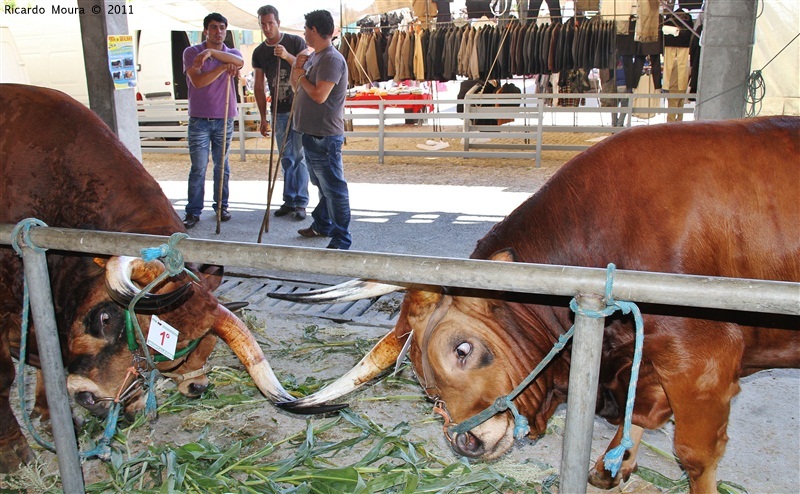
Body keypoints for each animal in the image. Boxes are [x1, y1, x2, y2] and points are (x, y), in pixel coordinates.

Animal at [0, 84, 332, 470]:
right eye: (104, 317)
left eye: (170, 357)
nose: (92, 398)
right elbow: (9, 372)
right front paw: (13, 450)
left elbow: (44, 356)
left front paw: (50, 414)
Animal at [272, 117, 796, 492]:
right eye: (424, 385)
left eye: (463, 349)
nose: (466, 441)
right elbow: (645, 413)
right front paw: (612, 465)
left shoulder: (702, 358)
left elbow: (695, 456)